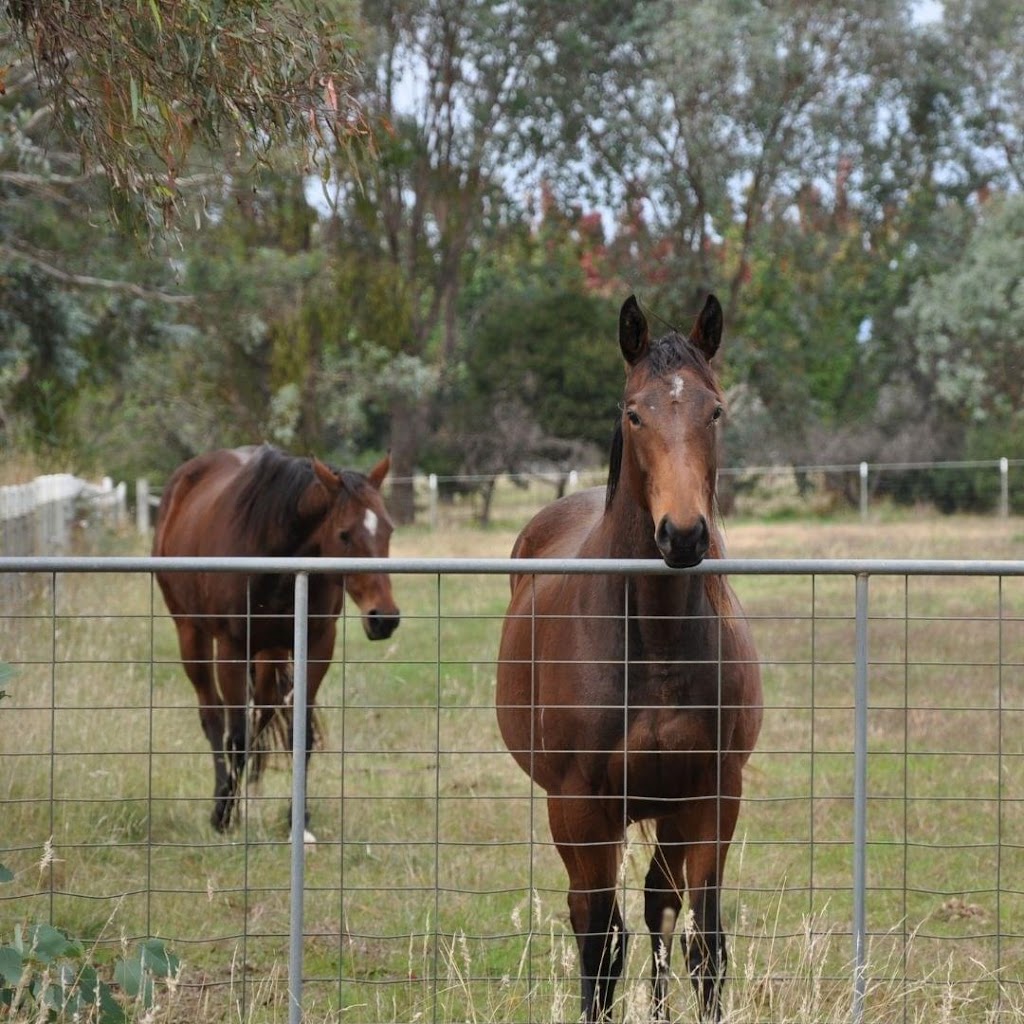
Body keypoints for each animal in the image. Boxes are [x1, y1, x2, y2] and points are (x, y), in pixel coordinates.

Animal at [151, 444, 399, 835]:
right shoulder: (232, 650)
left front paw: (299, 818)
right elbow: (235, 737)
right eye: (345, 534)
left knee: (263, 712)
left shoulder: (316, 646)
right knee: (212, 715)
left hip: (271, 653)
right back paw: (223, 800)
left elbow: (301, 736)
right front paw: (224, 815)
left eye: (388, 529)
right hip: (191, 633)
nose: (384, 618)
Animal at [491, 296, 765, 1024]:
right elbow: (599, 945)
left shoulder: (711, 795)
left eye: (715, 410)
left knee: (657, 908)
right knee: (601, 922)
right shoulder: (582, 806)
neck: (656, 640)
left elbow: (705, 944)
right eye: (634, 412)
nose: (684, 535)